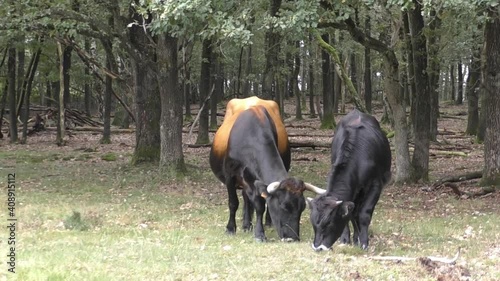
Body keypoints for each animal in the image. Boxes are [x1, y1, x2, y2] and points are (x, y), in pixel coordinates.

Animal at [210, 96, 324, 241]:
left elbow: (260, 205)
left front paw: (259, 233)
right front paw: (230, 228)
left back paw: (256, 223)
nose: (292, 238)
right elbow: (233, 203)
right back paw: (246, 225)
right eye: (283, 206)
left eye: (303, 207)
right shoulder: (229, 175)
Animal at [308, 109, 390, 249]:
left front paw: (364, 242)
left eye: (328, 223)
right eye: (313, 223)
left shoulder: (375, 185)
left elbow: (364, 213)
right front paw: (346, 239)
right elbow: (350, 215)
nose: (318, 247)